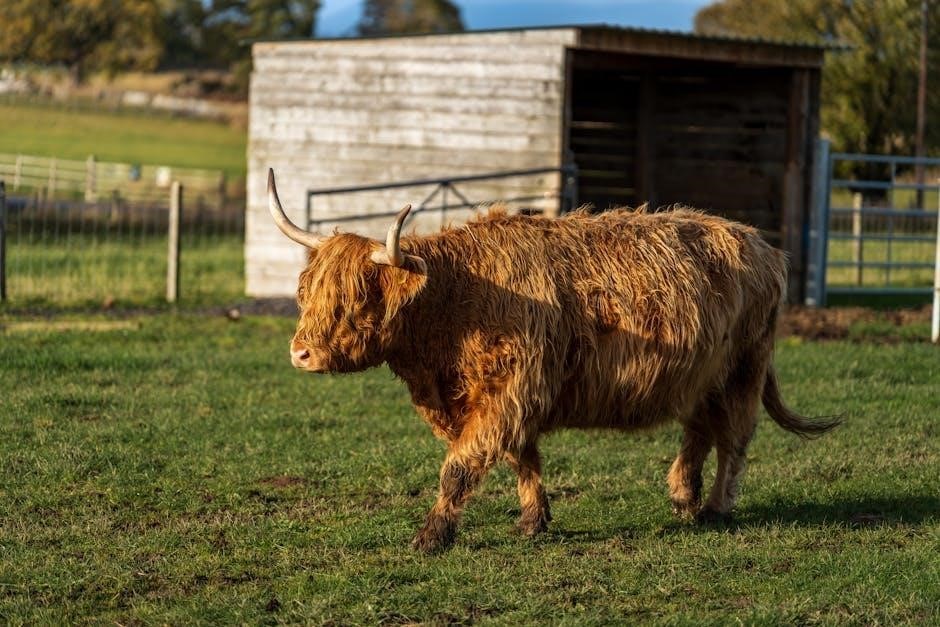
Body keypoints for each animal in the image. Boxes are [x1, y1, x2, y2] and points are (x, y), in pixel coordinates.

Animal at [266, 168, 838, 552]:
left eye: (357, 297)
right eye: (306, 292)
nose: (300, 353)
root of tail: (761, 244)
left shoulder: (511, 389)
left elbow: (460, 467)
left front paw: (431, 536)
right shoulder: (509, 395)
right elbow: (523, 456)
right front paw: (533, 520)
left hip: (743, 368)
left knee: (735, 437)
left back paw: (716, 508)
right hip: (698, 375)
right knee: (700, 429)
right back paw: (682, 499)